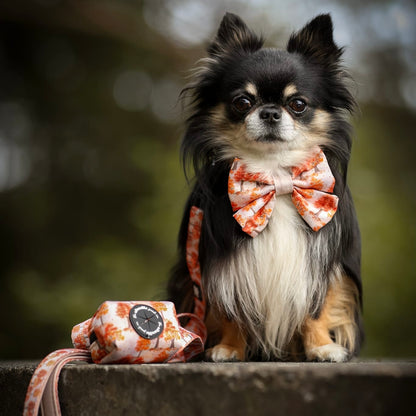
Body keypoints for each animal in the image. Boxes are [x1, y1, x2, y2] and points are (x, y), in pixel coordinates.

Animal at [167, 10, 362, 360]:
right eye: (242, 102)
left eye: (297, 104)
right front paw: (229, 347)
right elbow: (231, 309)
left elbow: (318, 306)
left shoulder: (322, 263)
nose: (270, 112)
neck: (275, 175)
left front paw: (322, 346)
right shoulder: (223, 265)